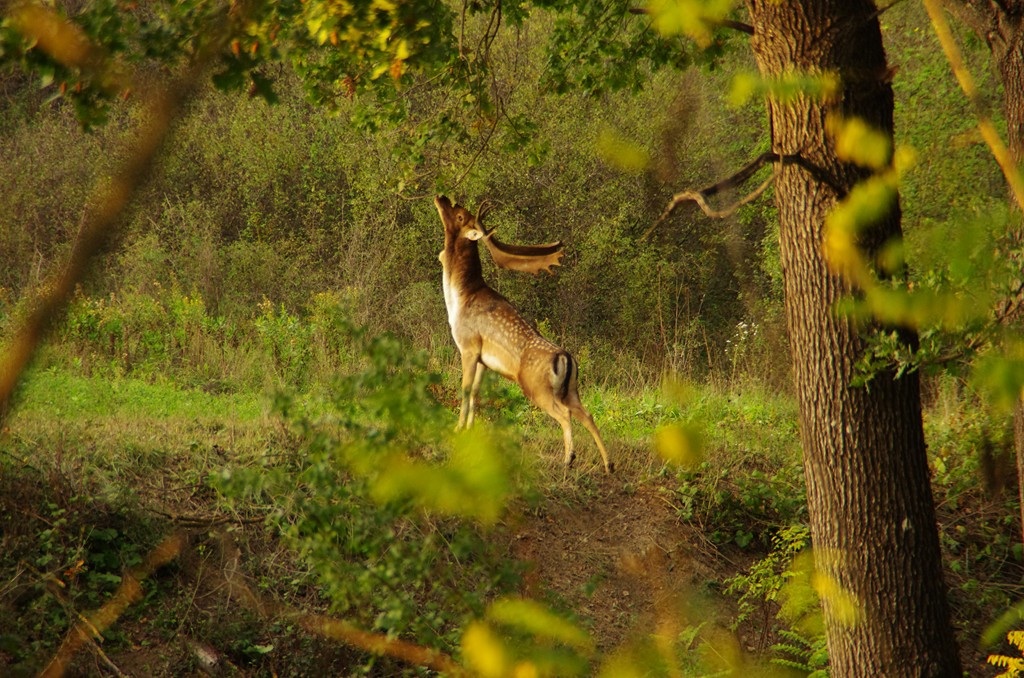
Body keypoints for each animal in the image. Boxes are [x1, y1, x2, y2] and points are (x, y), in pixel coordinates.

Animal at [434, 195, 613, 474]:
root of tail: (565, 358)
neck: (458, 300)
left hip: (537, 388)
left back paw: (569, 458)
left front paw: (457, 428)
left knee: (564, 414)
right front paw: (470, 430)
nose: (441, 197)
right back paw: (608, 464)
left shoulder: (468, 346)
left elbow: (464, 389)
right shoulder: (484, 359)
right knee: (587, 414)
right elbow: (475, 393)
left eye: (461, 215)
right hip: (571, 389)